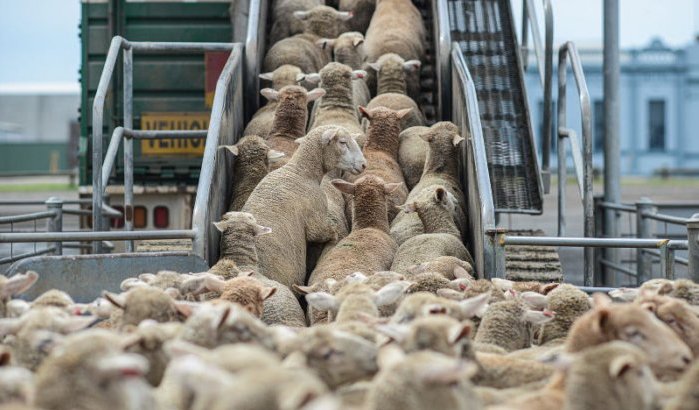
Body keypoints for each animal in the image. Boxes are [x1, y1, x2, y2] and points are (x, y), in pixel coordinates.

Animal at [242, 125, 366, 288]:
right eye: (343, 142)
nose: (364, 164)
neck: (300, 172)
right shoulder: (316, 215)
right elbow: (321, 232)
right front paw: (334, 235)